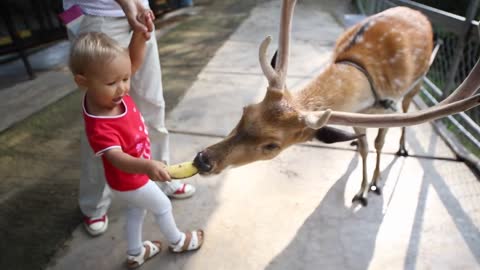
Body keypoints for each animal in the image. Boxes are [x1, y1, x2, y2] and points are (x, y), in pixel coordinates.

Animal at [191, 0, 480, 206]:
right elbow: (364, 146)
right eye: (245, 111)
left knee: (406, 116)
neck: (363, 72)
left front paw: (373, 187)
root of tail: (417, 12)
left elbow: (378, 144)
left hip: (415, 87)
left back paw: (402, 148)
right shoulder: (358, 113)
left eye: (272, 146)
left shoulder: (390, 106)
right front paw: (361, 187)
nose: (203, 160)